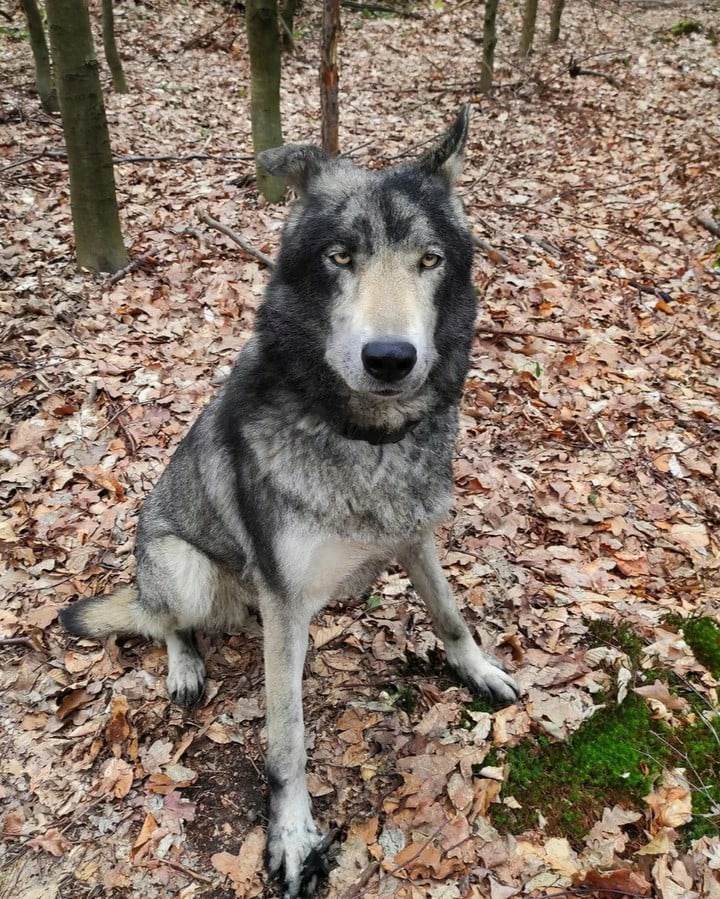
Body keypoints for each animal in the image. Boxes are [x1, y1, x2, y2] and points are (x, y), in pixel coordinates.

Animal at [59, 105, 520, 898]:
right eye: (340, 257)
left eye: (429, 260)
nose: (390, 359)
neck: (365, 440)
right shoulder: (284, 602)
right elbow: (288, 743)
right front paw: (295, 835)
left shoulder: (415, 538)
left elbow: (451, 615)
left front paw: (478, 668)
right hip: (183, 568)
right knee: (164, 621)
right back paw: (183, 665)